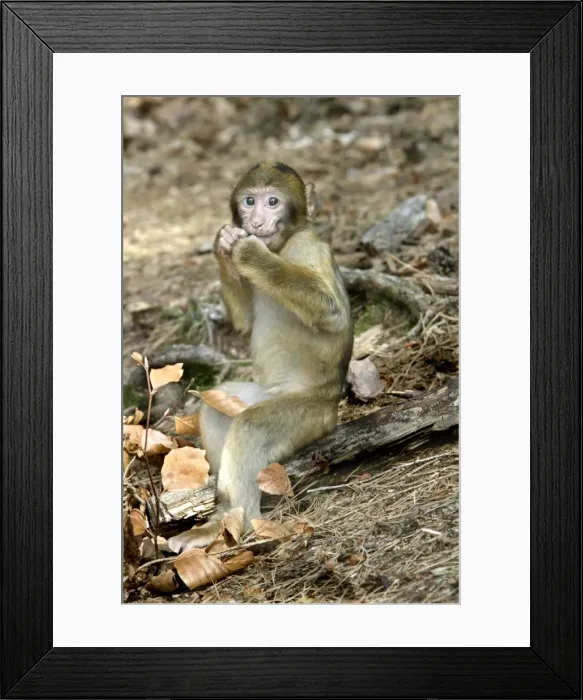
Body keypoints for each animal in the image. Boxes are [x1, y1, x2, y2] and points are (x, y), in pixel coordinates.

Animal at [176, 162, 353, 550]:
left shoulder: (307, 248)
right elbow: (243, 322)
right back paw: (222, 517)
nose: (256, 222)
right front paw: (225, 243)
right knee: (216, 406)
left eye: (273, 202)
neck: (282, 246)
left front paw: (249, 254)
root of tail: (332, 408)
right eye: (249, 201)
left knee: (251, 427)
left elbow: (331, 311)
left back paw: (238, 523)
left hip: (308, 417)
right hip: (259, 395)